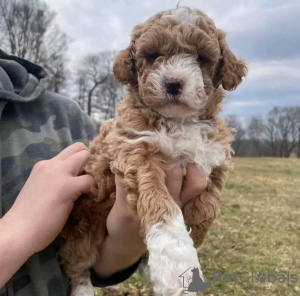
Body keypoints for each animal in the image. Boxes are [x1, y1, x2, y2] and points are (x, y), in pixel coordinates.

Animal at [58, 5, 246, 296]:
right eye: (154, 55)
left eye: (202, 58)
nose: (173, 83)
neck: (179, 121)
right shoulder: (135, 151)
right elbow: (161, 203)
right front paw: (176, 260)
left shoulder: (213, 163)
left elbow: (206, 211)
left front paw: (190, 244)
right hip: (80, 226)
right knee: (77, 264)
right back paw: (83, 289)